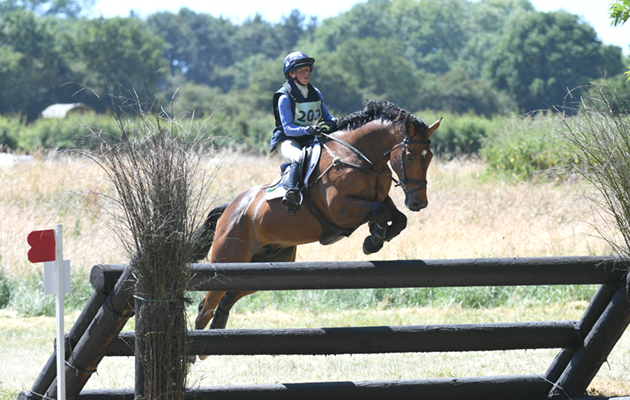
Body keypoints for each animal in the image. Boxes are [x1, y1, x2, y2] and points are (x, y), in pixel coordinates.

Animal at [190, 101, 442, 334]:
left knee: (225, 300)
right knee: (205, 308)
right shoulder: (341, 209)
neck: (358, 157)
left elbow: (397, 217)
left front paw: (376, 237)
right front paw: (373, 240)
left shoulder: (378, 198)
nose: (418, 203)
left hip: (264, 266)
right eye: (409, 157)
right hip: (228, 259)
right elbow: (381, 211)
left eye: (429, 157)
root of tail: (230, 208)